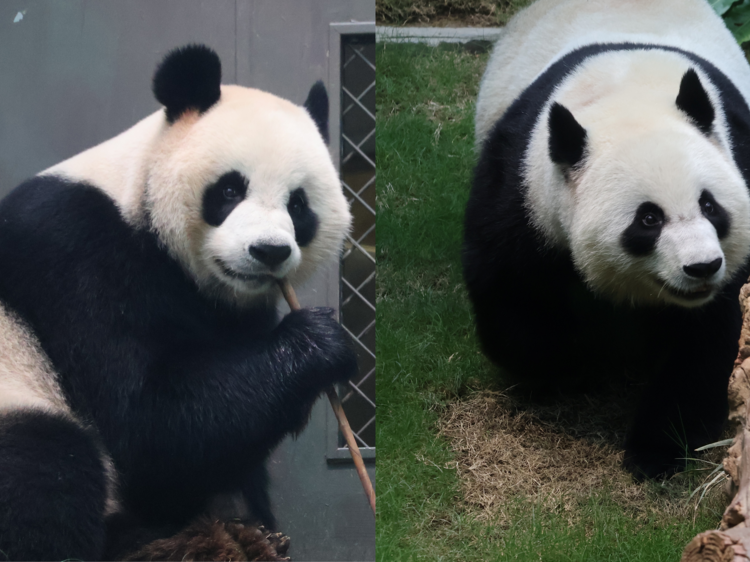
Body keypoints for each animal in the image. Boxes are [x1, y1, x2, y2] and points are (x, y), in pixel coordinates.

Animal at [0, 44, 358, 560]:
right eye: (229, 189)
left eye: (298, 205)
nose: (269, 251)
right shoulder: (71, 252)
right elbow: (144, 426)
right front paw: (320, 342)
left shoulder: (237, 312)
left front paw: (252, 527)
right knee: (45, 470)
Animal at [464, 0, 750, 476]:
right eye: (648, 219)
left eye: (710, 206)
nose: (702, 267)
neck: (630, 94)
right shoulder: (525, 189)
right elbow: (513, 293)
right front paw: (567, 368)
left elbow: (706, 338)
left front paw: (656, 449)